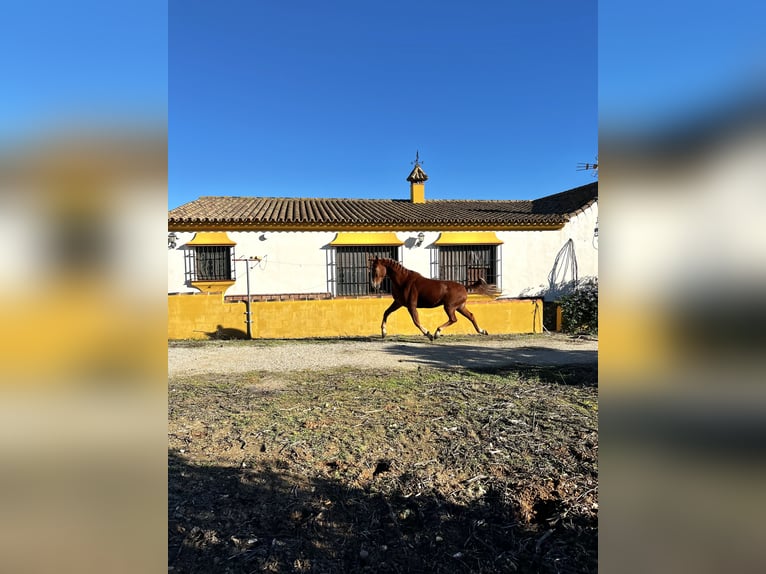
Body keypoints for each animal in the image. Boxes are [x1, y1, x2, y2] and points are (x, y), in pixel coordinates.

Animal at [370, 257, 500, 341]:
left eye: (375, 269)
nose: (374, 285)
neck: (404, 281)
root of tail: (464, 286)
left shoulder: (411, 306)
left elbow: (416, 321)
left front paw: (429, 334)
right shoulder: (398, 303)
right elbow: (386, 312)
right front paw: (383, 333)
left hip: (449, 307)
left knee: (453, 319)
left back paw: (437, 333)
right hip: (459, 307)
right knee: (471, 316)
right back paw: (482, 331)